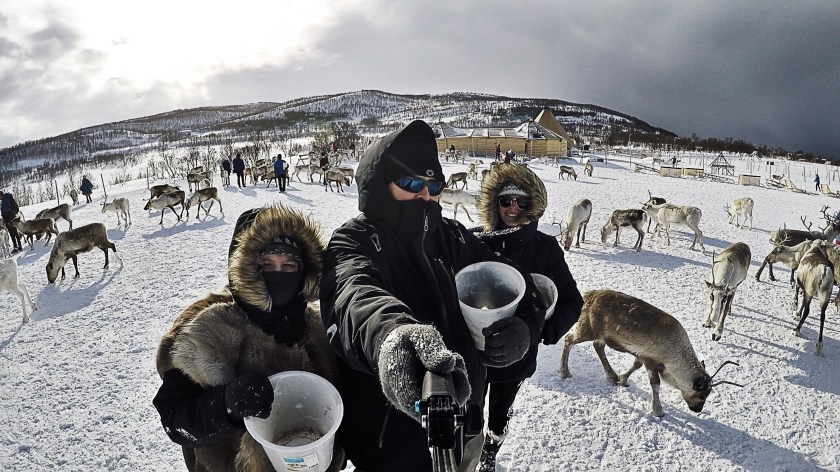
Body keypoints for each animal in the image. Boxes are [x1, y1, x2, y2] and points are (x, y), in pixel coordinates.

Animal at [559, 289, 742, 417]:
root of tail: (588, 294)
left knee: (598, 346)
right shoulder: (652, 361)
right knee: (569, 339)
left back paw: (612, 376)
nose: (697, 410)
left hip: (602, 335)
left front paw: (622, 379)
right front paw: (658, 410)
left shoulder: (642, 355)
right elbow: (655, 384)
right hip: (587, 328)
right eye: (702, 395)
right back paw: (565, 371)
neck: (675, 355)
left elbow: (635, 365)